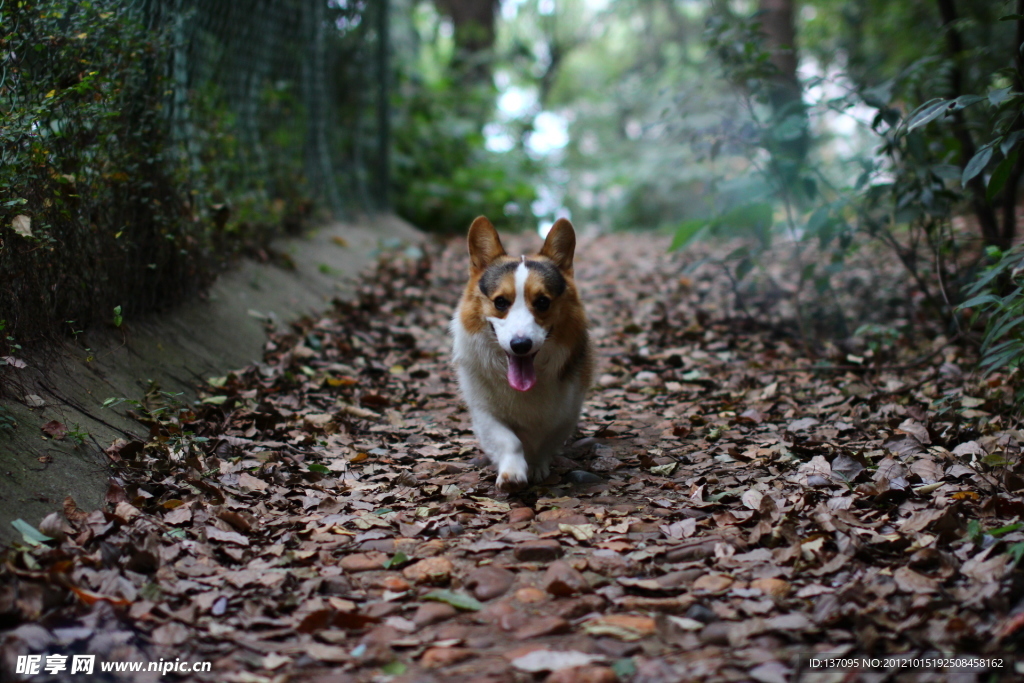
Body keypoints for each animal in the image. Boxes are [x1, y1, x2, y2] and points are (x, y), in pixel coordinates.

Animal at [450, 216, 593, 489]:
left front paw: (536, 465)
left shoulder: (566, 411)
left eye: (543, 302)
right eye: (500, 302)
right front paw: (512, 473)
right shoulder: (484, 411)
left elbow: (546, 440)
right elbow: (509, 441)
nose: (520, 345)